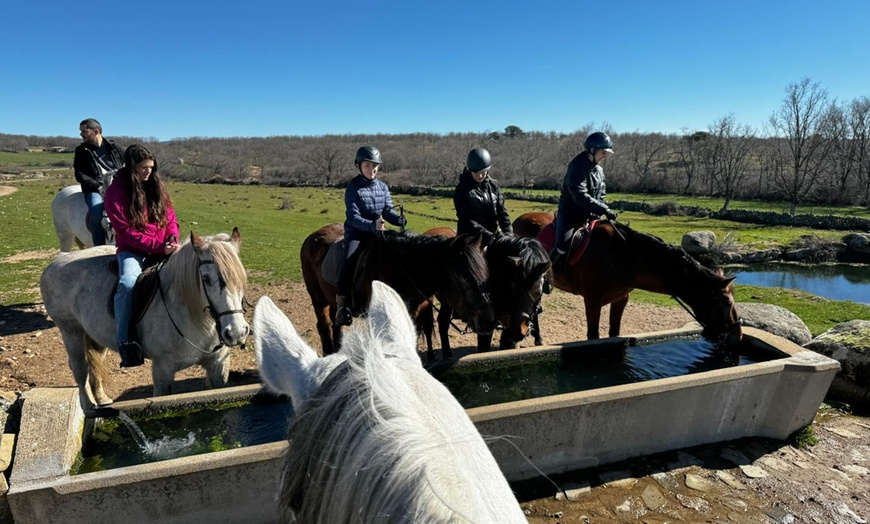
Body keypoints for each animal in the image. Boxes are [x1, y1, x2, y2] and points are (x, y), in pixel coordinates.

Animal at [42, 228, 250, 410]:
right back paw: (88, 407)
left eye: (241, 278)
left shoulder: (218, 365)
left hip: (94, 335)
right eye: (206, 279)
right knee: (80, 369)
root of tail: (57, 261)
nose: (236, 332)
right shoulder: (163, 370)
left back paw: (102, 399)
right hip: (71, 331)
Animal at [302, 223, 498, 354]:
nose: (488, 321)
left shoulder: (415, 311)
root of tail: (312, 237)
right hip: (317, 299)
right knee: (324, 325)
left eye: (485, 271)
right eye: (462, 276)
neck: (400, 269)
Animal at [516, 211, 744, 346]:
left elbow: (614, 333)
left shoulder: (621, 299)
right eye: (726, 303)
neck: (620, 256)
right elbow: (593, 336)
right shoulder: (592, 302)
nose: (738, 335)